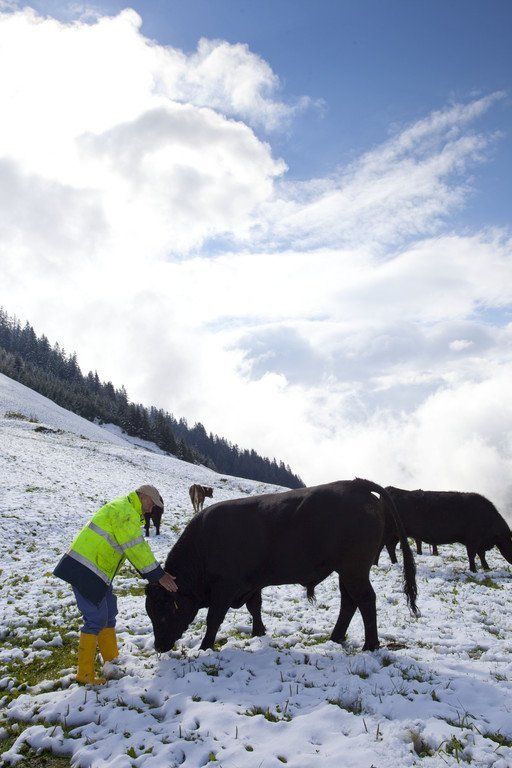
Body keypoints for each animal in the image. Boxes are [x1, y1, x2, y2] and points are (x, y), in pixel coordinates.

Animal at [146, 478, 418, 653]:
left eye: (163, 611)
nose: (159, 646)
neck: (203, 544)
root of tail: (356, 484)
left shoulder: (224, 587)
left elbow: (214, 618)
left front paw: (204, 647)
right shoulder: (251, 583)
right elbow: (255, 607)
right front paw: (259, 632)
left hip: (354, 570)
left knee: (365, 600)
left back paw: (369, 646)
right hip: (346, 572)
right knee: (349, 602)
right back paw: (336, 637)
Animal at [379, 486, 512, 572]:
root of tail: (390, 489)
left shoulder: (479, 542)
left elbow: (481, 555)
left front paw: (486, 568)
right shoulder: (473, 541)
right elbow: (472, 555)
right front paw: (473, 570)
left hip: (395, 533)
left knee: (389, 546)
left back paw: (392, 563)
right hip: (389, 530)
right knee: (385, 545)